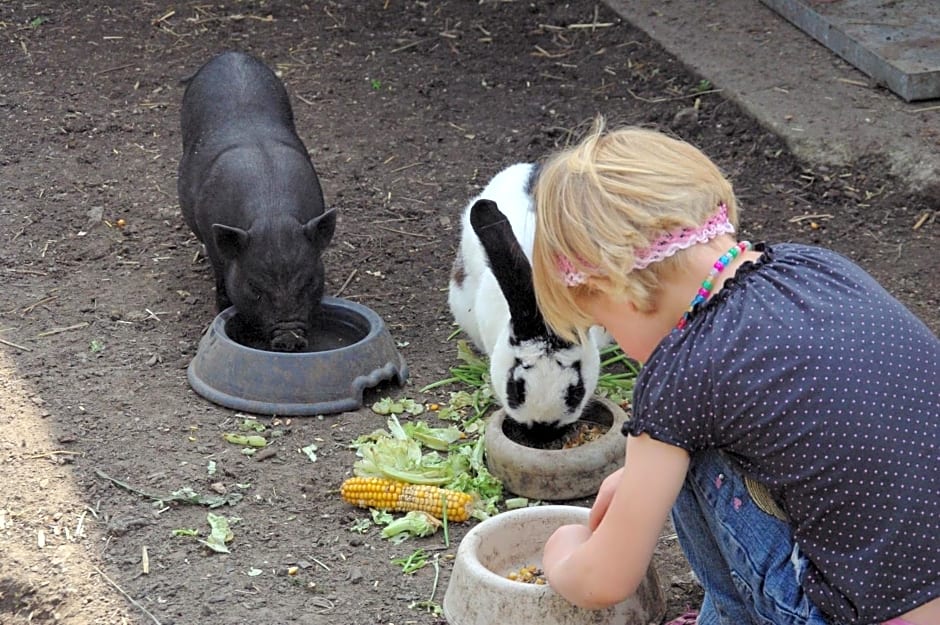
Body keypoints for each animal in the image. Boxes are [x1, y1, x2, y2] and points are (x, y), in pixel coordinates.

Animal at [178, 50, 336, 352]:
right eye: (254, 287)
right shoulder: (213, 244)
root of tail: (230, 54)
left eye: (309, 282)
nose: (289, 339)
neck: (272, 213)